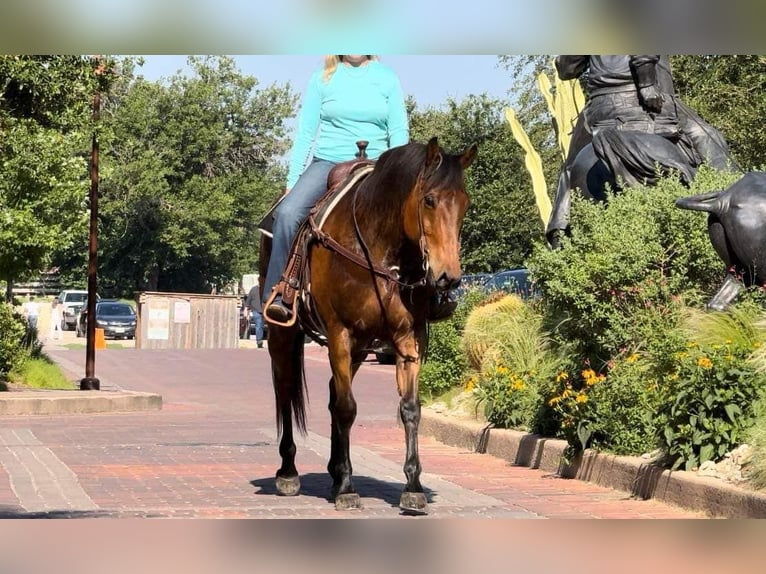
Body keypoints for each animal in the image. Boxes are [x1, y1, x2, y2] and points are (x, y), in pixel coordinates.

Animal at [258, 137, 477, 514]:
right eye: (430, 200)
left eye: (465, 202)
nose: (448, 278)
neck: (379, 249)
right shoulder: (339, 334)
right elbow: (347, 408)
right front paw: (348, 489)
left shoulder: (409, 340)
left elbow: (410, 409)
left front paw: (413, 486)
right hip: (284, 334)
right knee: (286, 390)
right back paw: (289, 471)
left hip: (360, 348)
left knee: (333, 392)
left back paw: (334, 471)